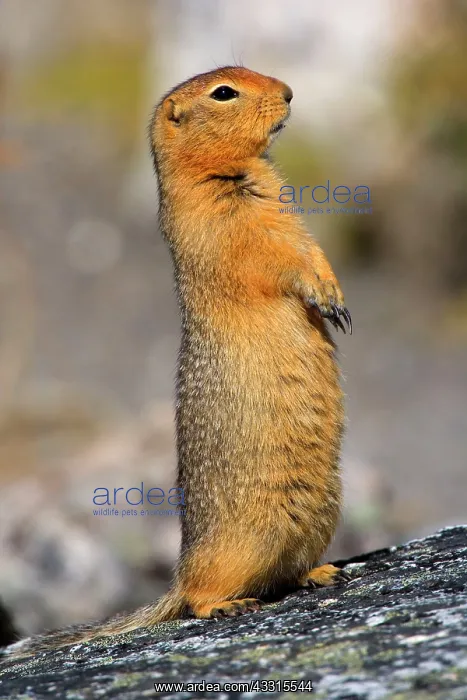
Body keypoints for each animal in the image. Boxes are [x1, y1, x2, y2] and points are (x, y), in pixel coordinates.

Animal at [2, 66, 351, 659]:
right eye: (224, 92)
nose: (288, 92)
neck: (229, 173)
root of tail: (178, 573)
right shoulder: (229, 226)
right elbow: (276, 259)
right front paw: (320, 293)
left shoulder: (290, 216)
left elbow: (313, 248)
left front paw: (337, 297)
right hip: (239, 547)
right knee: (196, 600)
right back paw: (227, 603)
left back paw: (321, 572)